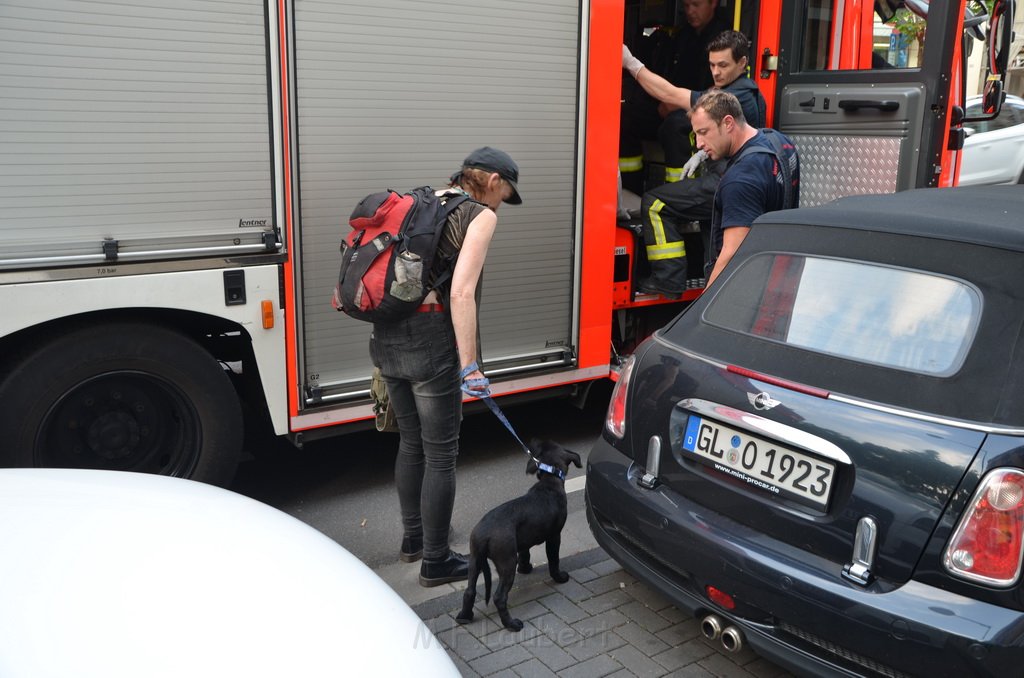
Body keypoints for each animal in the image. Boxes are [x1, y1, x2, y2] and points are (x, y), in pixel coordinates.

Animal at [454, 440, 581, 630]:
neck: (549, 481)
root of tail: (484, 535)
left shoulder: (523, 540)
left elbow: (525, 553)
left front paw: (525, 568)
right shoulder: (554, 536)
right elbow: (554, 560)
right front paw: (559, 577)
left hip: (475, 560)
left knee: (470, 591)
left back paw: (464, 617)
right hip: (506, 561)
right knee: (499, 597)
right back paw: (512, 624)